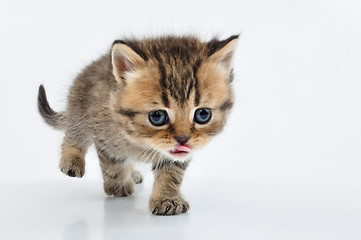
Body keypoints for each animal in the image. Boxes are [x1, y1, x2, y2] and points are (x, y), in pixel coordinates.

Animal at [38, 35, 238, 216]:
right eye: (157, 116)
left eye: (203, 114)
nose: (183, 139)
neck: (143, 142)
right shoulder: (103, 133)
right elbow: (113, 163)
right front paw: (118, 185)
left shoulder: (177, 156)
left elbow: (171, 173)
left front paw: (167, 198)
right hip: (79, 107)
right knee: (74, 133)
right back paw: (72, 160)